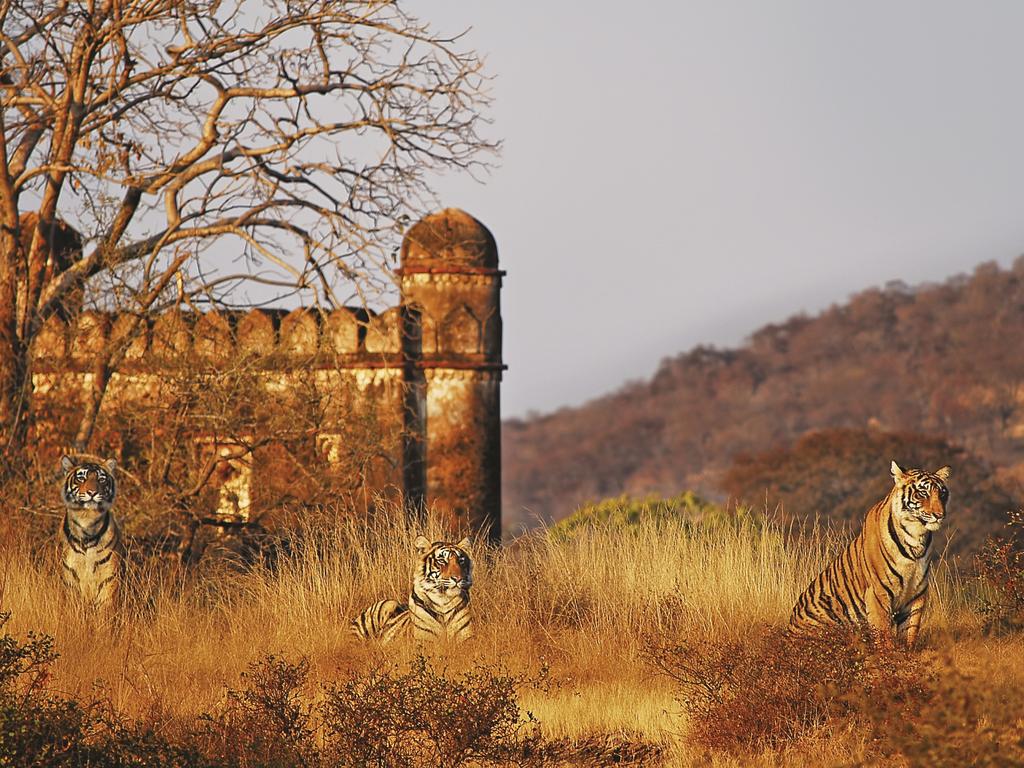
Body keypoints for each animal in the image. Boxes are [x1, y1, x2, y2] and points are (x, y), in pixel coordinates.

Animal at [57, 456, 124, 618]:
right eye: (81, 478)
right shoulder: (70, 578)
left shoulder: (108, 579)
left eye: (101, 479)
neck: (87, 520)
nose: (92, 492)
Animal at [790, 462, 950, 651]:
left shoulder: (917, 593)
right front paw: (888, 656)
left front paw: (907, 654)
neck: (916, 537)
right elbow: (883, 633)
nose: (940, 515)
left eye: (942, 494)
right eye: (923, 493)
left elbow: (910, 631)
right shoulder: (878, 592)